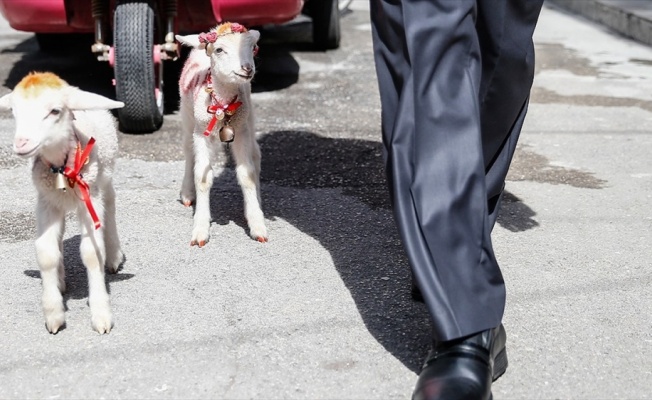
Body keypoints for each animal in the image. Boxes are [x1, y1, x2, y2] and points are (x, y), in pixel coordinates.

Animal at [0, 72, 126, 334]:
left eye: (55, 111)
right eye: (14, 111)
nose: (21, 143)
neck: (62, 165)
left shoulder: (90, 198)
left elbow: (92, 253)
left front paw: (101, 313)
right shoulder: (46, 203)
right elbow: (46, 252)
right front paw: (53, 313)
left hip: (104, 177)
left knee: (110, 206)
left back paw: (114, 256)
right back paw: (59, 280)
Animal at [176, 22, 268, 247]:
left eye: (252, 47)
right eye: (219, 50)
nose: (247, 68)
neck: (223, 103)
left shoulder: (241, 130)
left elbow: (247, 174)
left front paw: (256, 222)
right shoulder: (202, 131)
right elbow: (202, 177)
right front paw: (200, 228)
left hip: (249, 117)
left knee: (256, 154)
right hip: (188, 116)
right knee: (188, 151)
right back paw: (187, 193)